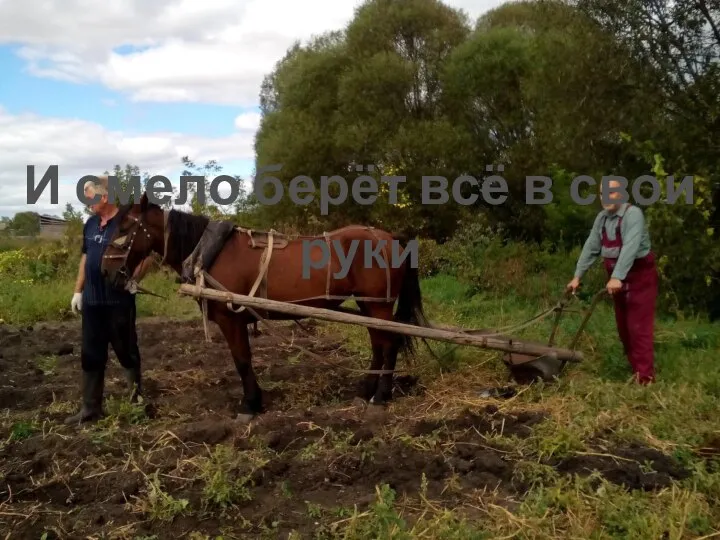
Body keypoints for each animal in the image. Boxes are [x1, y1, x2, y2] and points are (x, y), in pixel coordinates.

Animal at [100, 193, 428, 422]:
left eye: (125, 227)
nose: (104, 271)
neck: (211, 252)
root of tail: (391, 238)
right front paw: (254, 401)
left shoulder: (230, 320)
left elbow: (242, 361)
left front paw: (250, 405)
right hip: (369, 305)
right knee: (378, 344)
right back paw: (366, 391)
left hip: (379, 305)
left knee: (389, 345)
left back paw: (380, 397)